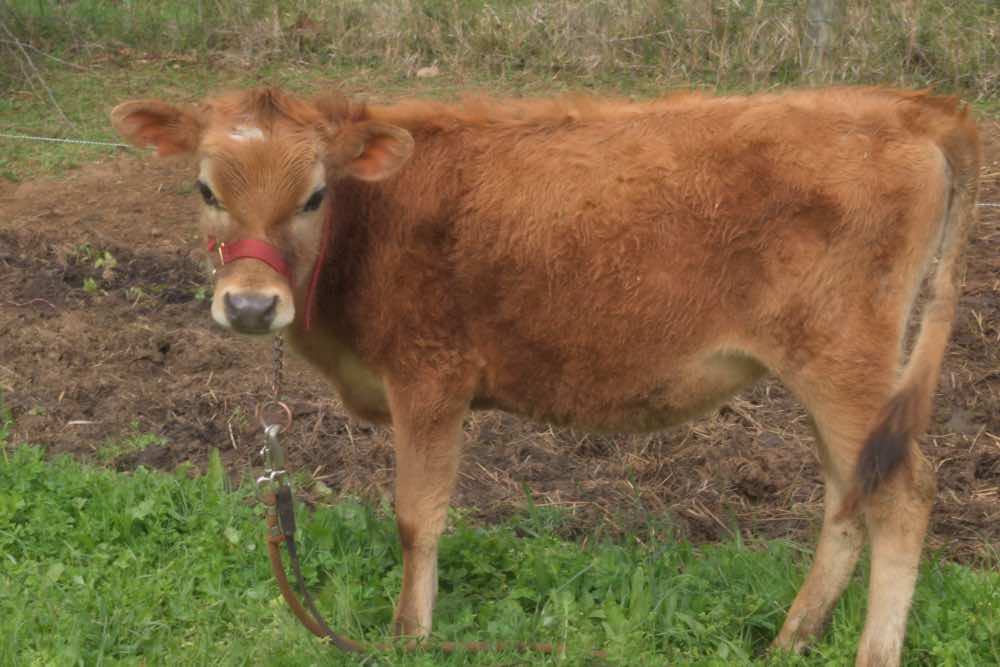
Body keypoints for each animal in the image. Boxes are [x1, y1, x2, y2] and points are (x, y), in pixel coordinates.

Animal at [111, 85, 979, 667]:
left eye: (316, 194)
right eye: (205, 188)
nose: (252, 305)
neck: (374, 225)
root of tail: (905, 105)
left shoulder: (431, 375)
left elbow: (417, 516)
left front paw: (409, 634)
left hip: (845, 360)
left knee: (902, 494)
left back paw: (869, 651)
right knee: (848, 492)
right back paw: (792, 636)